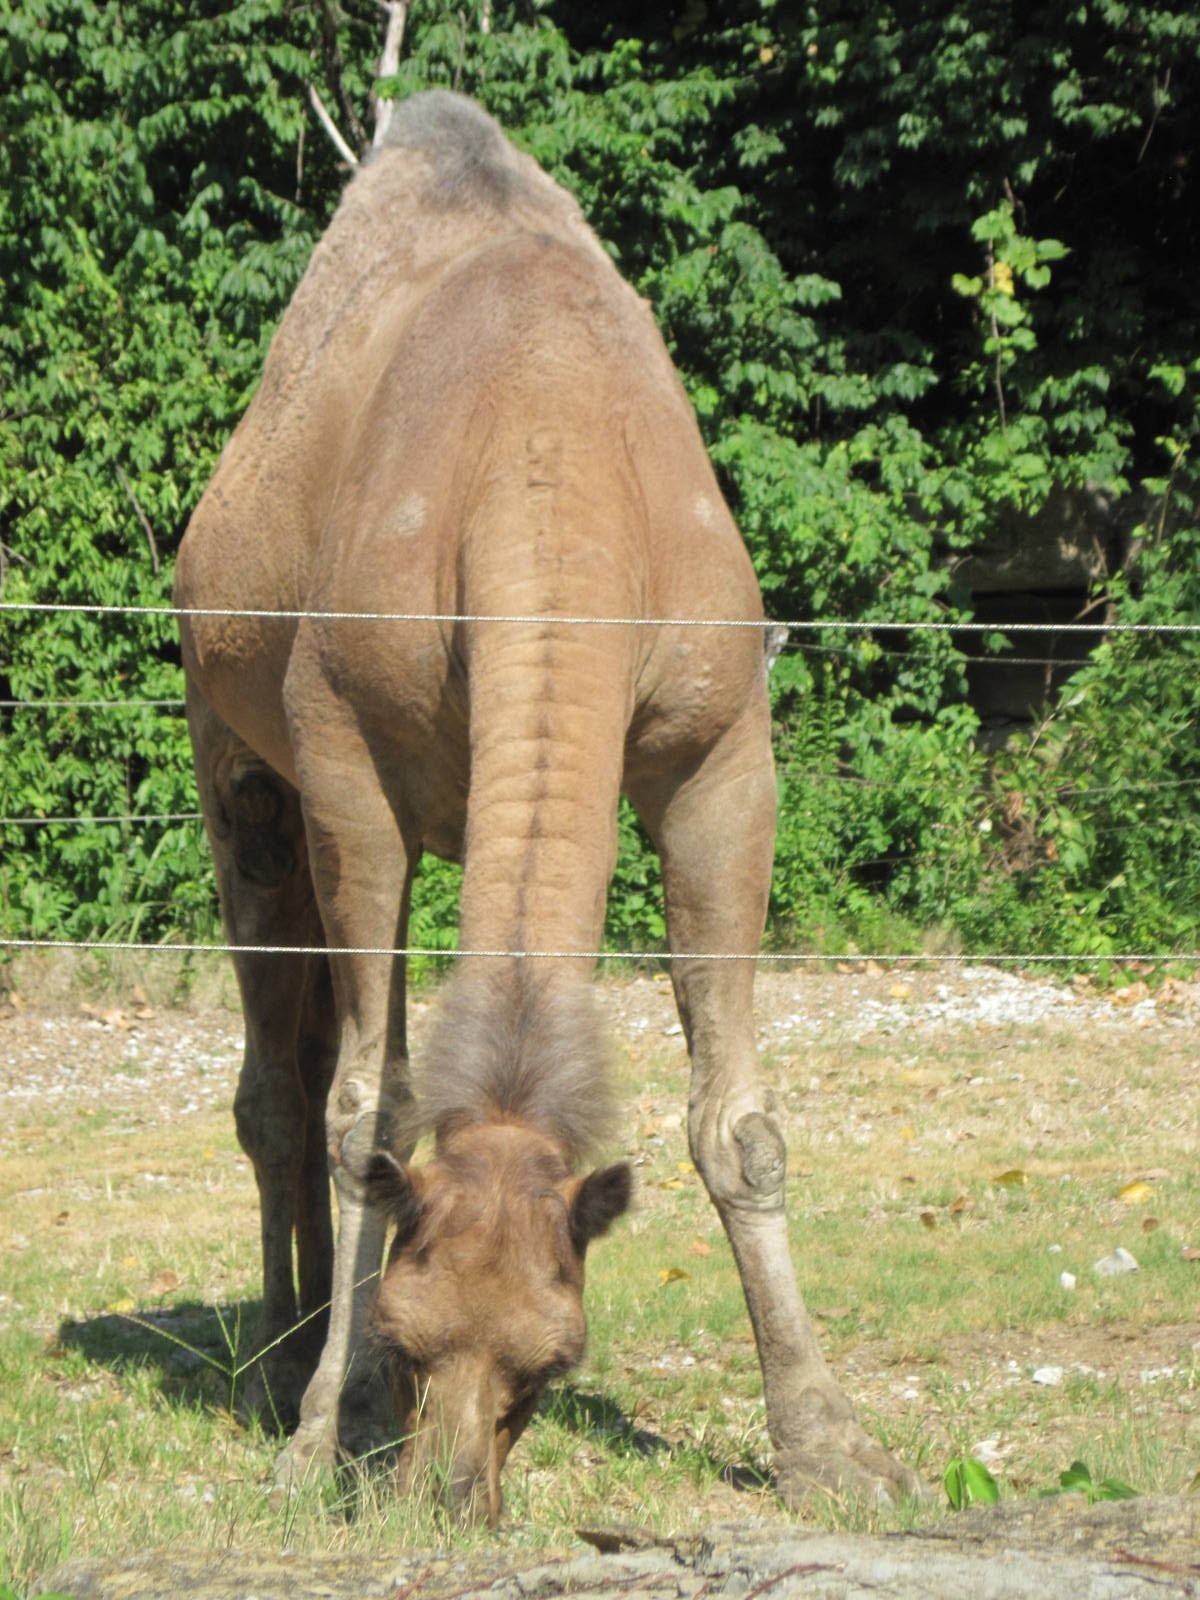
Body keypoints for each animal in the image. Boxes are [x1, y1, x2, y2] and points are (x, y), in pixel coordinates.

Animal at [175, 90, 918, 1523]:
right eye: (410, 1339)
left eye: (554, 1359)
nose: (447, 1497)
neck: (549, 464)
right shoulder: (343, 760)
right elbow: (367, 1110)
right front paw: (323, 1428)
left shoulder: (718, 757)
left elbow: (738, 1122)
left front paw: (830, 1445)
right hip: (235, 765)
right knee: (277, 1084)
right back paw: (280, 1357)